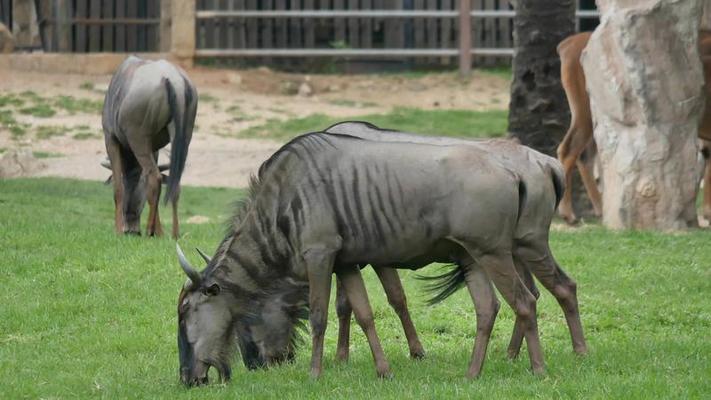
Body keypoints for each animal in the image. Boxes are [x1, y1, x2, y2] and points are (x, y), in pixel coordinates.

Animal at [556, 30, 711, 225]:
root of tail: (567, 45)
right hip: (586, 114)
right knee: (568, 151)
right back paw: (569, 214)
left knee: (584, 156)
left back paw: (600, 209)